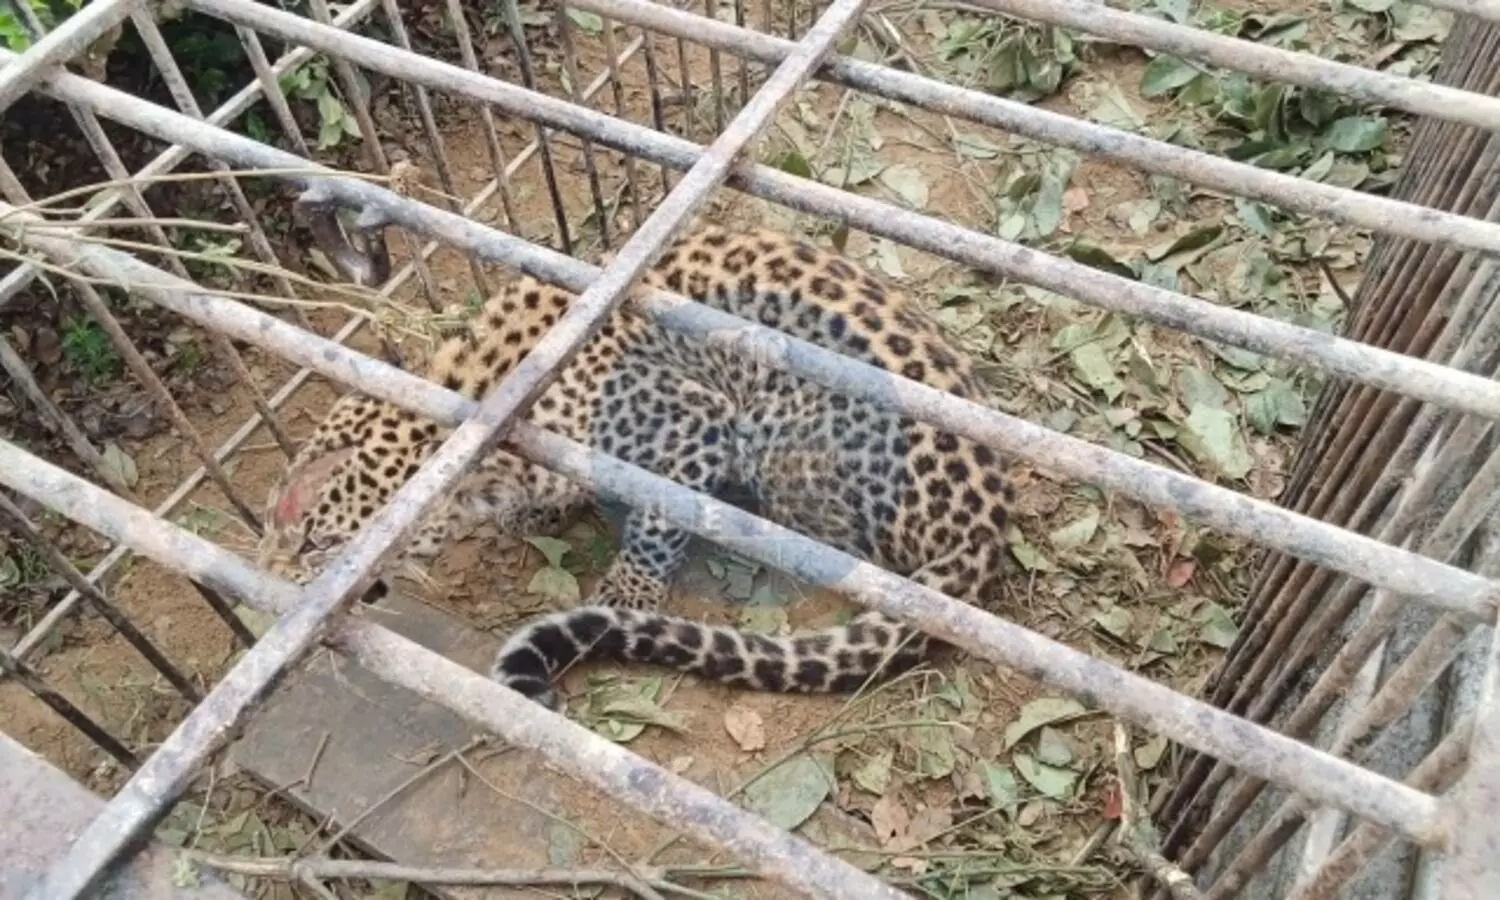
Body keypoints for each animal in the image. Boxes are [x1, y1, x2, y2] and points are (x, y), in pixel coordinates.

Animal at [257, 224, 1015, 710]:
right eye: (267, 527)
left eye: (318, 543)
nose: (267, 588)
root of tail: (985, 525)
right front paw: (535, 510)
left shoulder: (691, 426)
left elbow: (656, 520)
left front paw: (626, 593)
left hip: (778, 430)